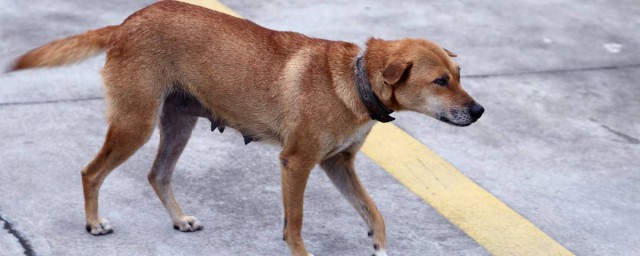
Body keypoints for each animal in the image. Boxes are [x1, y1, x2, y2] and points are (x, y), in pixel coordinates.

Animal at [12, 1, 482, 255]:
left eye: (459, 74)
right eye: (441, 82)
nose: (478, 111)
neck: (354, 77)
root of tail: (126, 23)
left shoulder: (338, 164)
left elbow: (374, 212)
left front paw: (380, 246)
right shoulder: (297, 163)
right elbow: (296, 222)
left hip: (178, 124)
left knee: (157, 174)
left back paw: (179, 220)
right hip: (135, 124)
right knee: (91, 172)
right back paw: (93, 224)